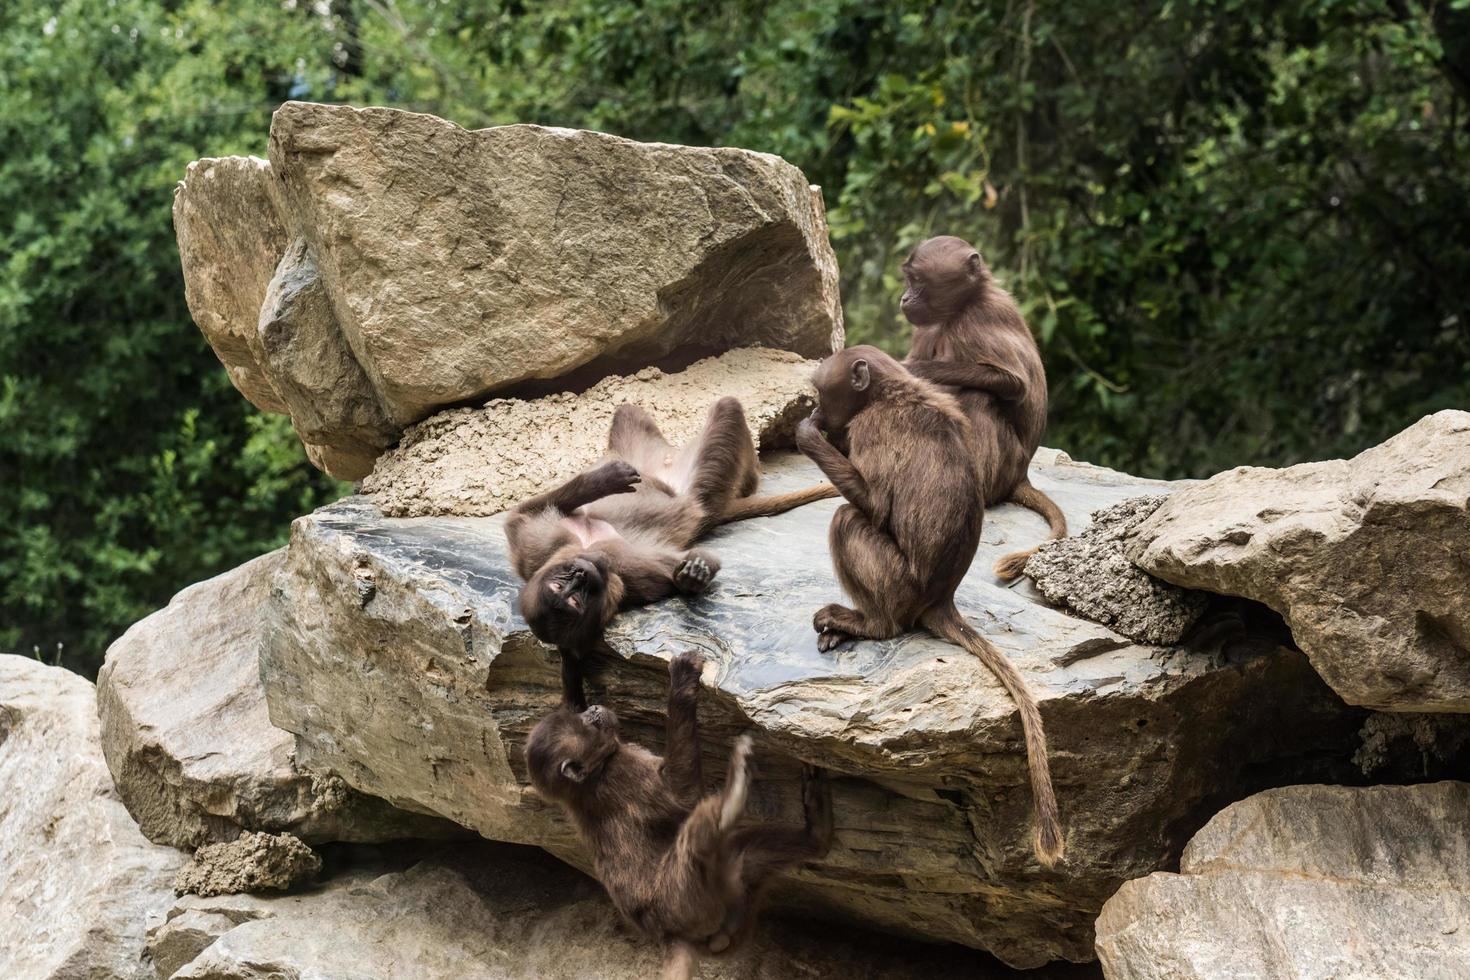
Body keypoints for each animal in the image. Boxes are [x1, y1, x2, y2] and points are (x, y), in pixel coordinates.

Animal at [508, 393, 840, 708]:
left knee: (633, 414)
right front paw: (692, 576)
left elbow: (522, 512)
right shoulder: (626, 573)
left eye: (564, 583)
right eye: (576, 599)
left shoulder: (534, 545)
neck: (586, 547)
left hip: (645, 452)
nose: (582, 573)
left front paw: (599, 481)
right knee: (726, 415)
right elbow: (686, 565)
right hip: (703, 482)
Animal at [529, 652, 834, 980]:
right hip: (681, 897)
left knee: (748, 856)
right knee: (695, 837)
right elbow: (681, 794)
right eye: (588, 723)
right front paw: (682, 683)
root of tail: (670, 935)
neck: (587, 782)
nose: (596, 708)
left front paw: (571, 658)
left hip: (729, 901)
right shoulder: (627, 774)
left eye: (583, 715)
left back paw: (816, 831)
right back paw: (734, 794)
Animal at [799, 345, 1064, 863]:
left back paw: (866, 623)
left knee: (847, 519)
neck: (889, 391)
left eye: (822, 391)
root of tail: (941, 598)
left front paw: (806, 435)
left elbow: (876, 505)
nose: (817, 411)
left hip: (896, 584)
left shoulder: (870, 429)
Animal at [893, 235, 1070, 578]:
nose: (904, 299)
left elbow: (1014, 383)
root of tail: (1021, 475)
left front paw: (913, 371)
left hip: (1007, 463)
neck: (958, 310)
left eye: (918, 280)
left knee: (980, 396)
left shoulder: (983, 318)